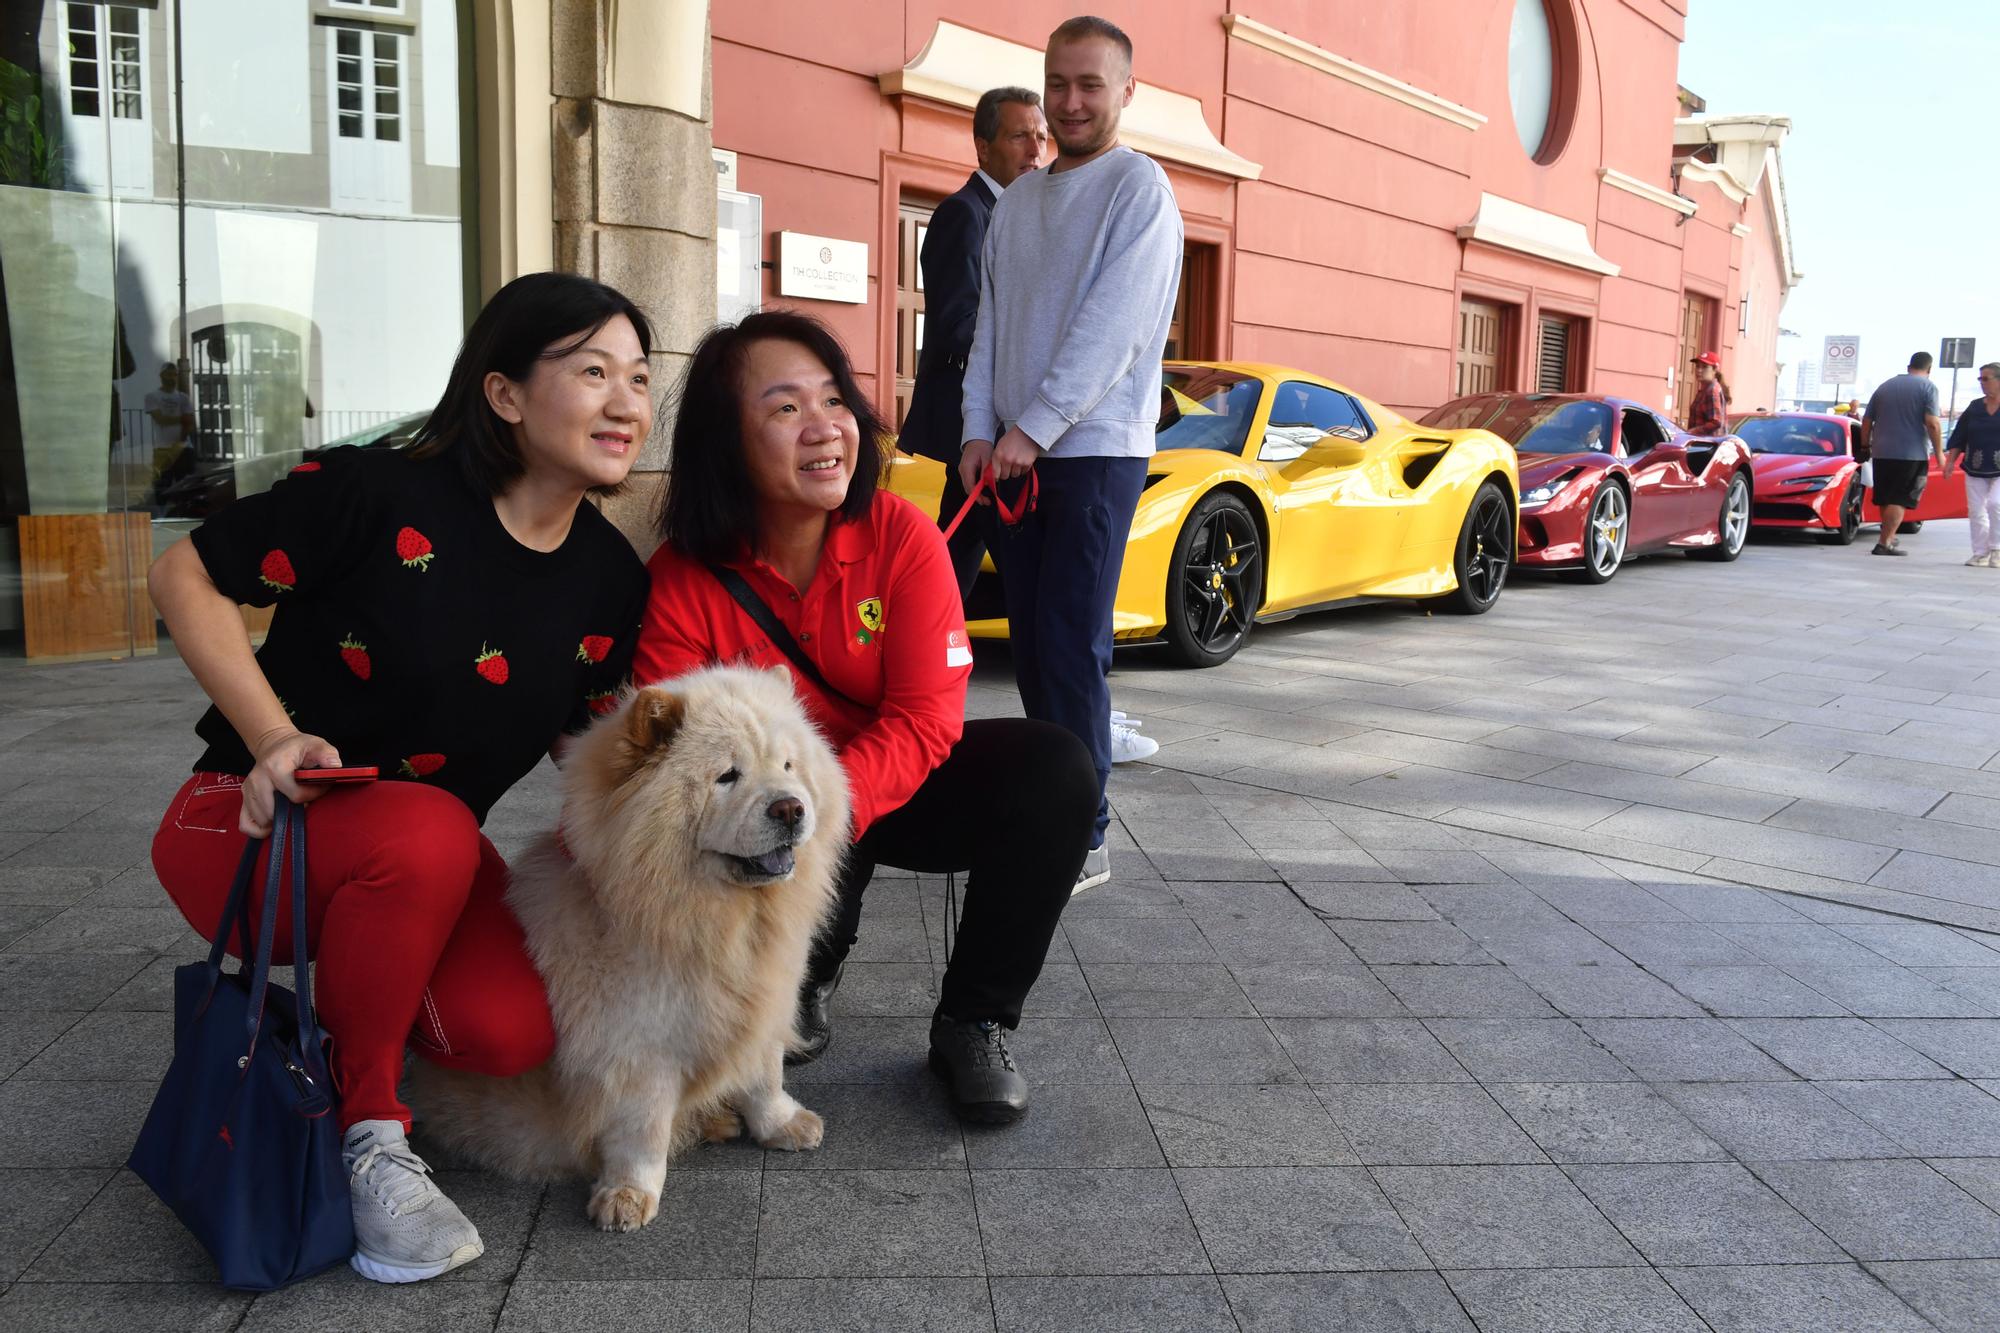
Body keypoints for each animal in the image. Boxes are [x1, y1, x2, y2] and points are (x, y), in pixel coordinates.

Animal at [406, 660, 844, 1232]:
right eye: (727, 776)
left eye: (789, 766)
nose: (791, 808)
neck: (719, 921)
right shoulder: (637, 1046)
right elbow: (642, 1130)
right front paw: (628, 1197)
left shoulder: (767, 1001)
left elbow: (764, 1076)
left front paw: (781, 1125)